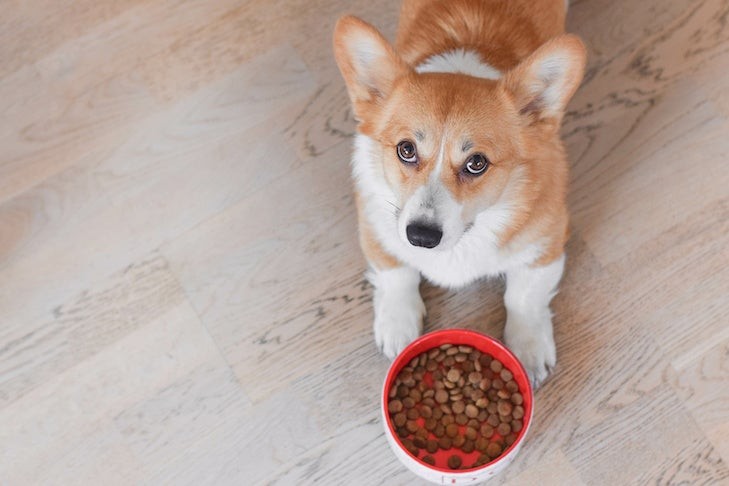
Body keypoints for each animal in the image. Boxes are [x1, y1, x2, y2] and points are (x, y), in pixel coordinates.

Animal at [334, 0, 584, 388]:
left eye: (477, 163)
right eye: (406, 149)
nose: (420, 237)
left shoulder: (547, 242)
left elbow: (523, 296)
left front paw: (527, 351)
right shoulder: (375, 226)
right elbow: (396, 272)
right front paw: (398, 326)